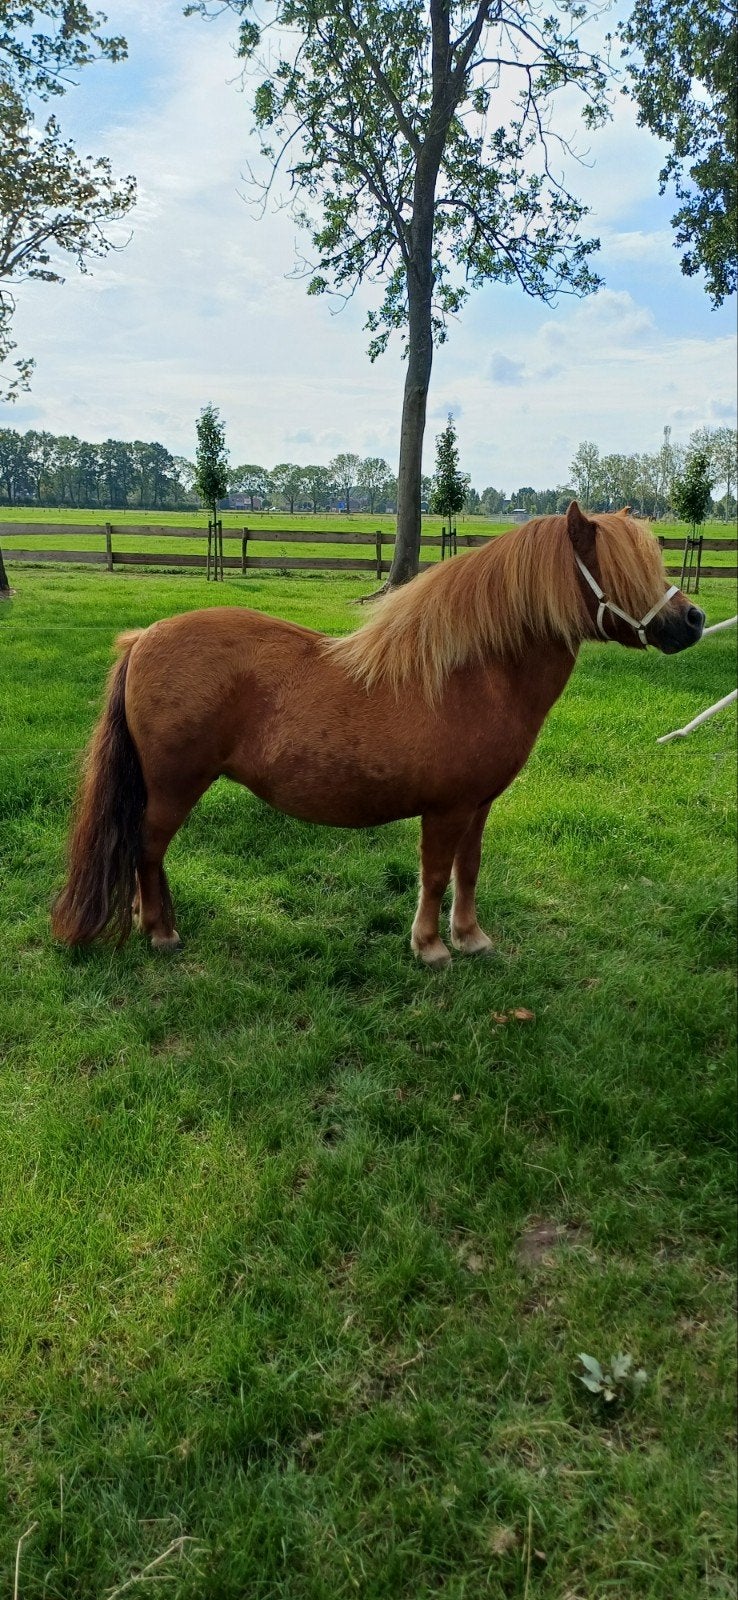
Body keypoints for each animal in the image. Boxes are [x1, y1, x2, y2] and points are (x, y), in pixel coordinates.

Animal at [51, 502, 704, 968]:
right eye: (625, 570)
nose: (693, 620)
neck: (472, 675)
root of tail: (145, 638)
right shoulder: (445, 809)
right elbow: (435, 874)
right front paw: (431, 948)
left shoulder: (478, 806)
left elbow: (468, 869)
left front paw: (470, 938)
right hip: (174, 786)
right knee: (148, 847)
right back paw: (161, 933)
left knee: (149, 853)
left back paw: (150, 920)